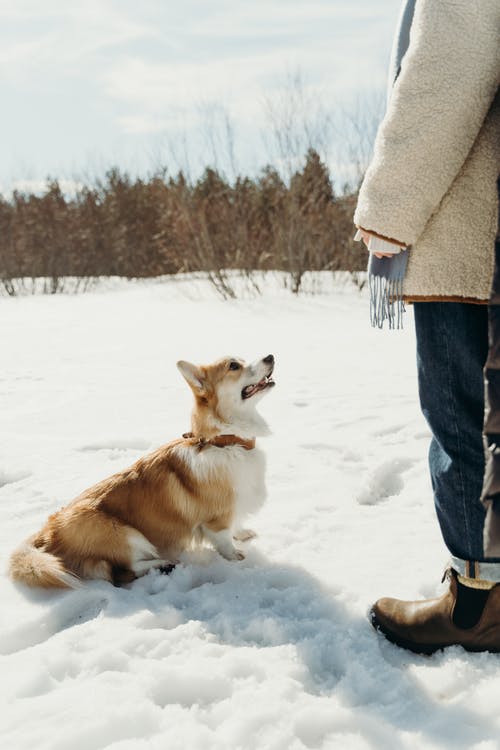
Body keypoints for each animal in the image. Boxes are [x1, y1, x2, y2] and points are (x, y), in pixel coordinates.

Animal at [7, 356, 276, 592]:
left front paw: (243, 534)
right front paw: (237, 558)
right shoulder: (216, 519)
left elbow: (236, 524)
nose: (270, 356)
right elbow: (224, 540)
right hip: (125, 534)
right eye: (234, 366)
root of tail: (48, 531)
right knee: (125, 568)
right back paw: (164, 564)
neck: (225, 442)